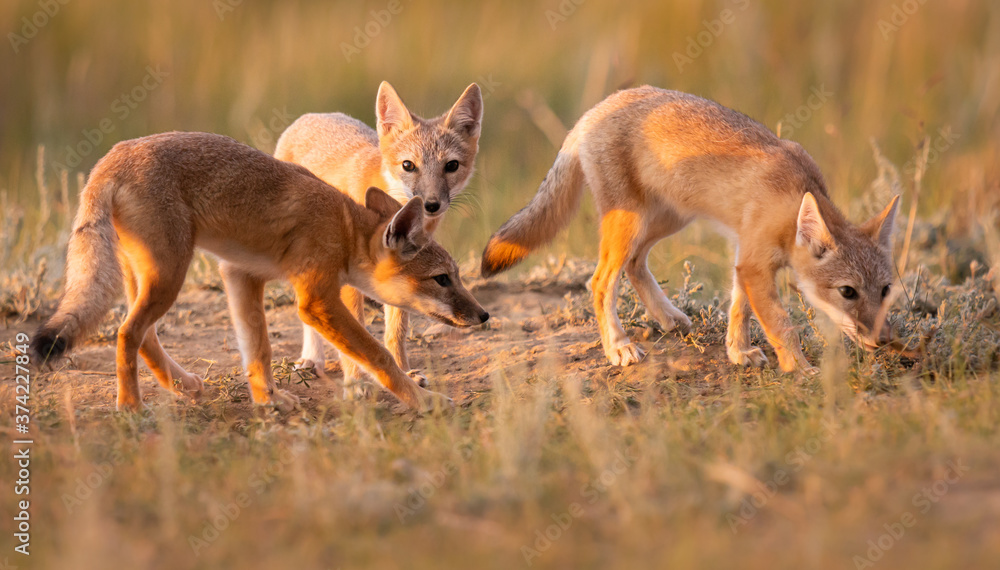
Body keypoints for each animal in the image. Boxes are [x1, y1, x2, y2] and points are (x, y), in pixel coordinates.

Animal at [30, 132, 489, 413]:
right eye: (442, 279)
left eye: (457, 276)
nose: (484, 315)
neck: (342, 227)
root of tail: (112, 155)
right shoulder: (315, 302)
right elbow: (378, 356)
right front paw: (425, 402)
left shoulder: (241, 275)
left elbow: (258, 348)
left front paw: (268, 401)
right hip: (168, 275)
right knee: (127, 333)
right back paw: (131, 407)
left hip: (150, 278)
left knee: (144, 335)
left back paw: (182, 386)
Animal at [274, 81, 483, 395]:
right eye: (408, 165)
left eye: (452, 166)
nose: (431, 204)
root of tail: (313, 115)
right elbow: (354, 334)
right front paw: (355, 381)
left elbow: (396, 328)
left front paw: (404, 371)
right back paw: (312, 358)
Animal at [481, 86, 900, 373]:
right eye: (847, 292)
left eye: (885, 291)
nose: (882, 340)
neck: (794, 196)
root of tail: (596, 108)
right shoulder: (753, 262)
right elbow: (782, 325)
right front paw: (800, 369)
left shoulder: (744, 258)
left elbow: (740, 309)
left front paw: (738, 351)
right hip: (631, 223)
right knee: (600, 282)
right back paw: (618, 346)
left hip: (665, 220)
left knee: (635, 265)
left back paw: (668, 318)